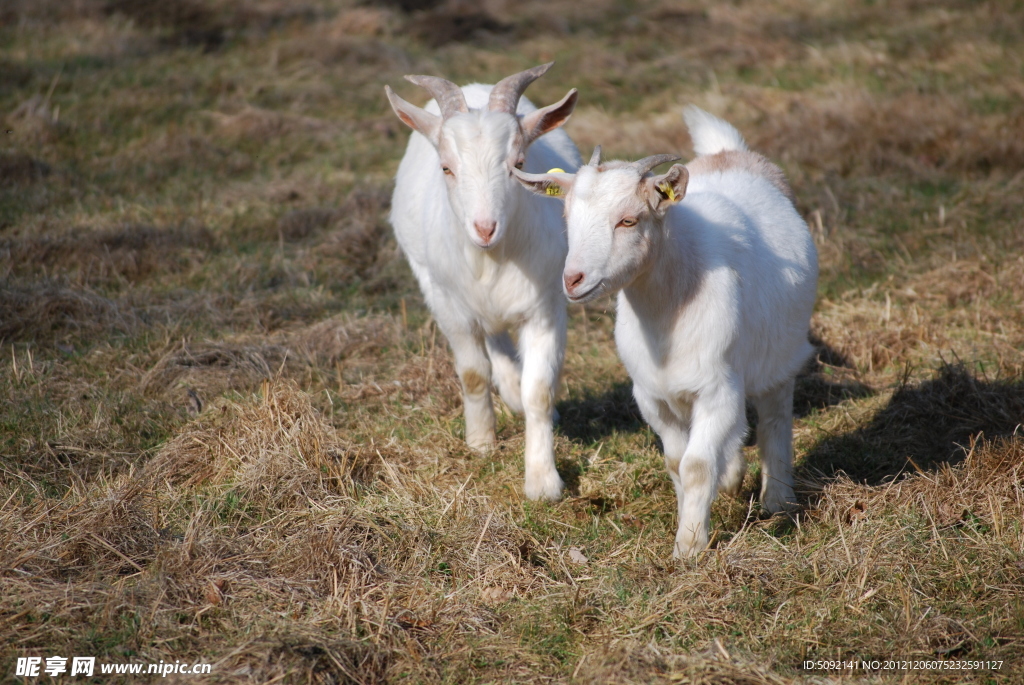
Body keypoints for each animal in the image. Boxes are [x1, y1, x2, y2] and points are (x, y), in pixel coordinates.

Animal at [385, 63, 581, 499]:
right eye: (446, 167)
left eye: (518, 162)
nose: (484, 228)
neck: (492, 259)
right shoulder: (449, 304)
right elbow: (473, 374)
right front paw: (480, 443)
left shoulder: (545, 307)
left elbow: (539, 390)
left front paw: (543, 481)